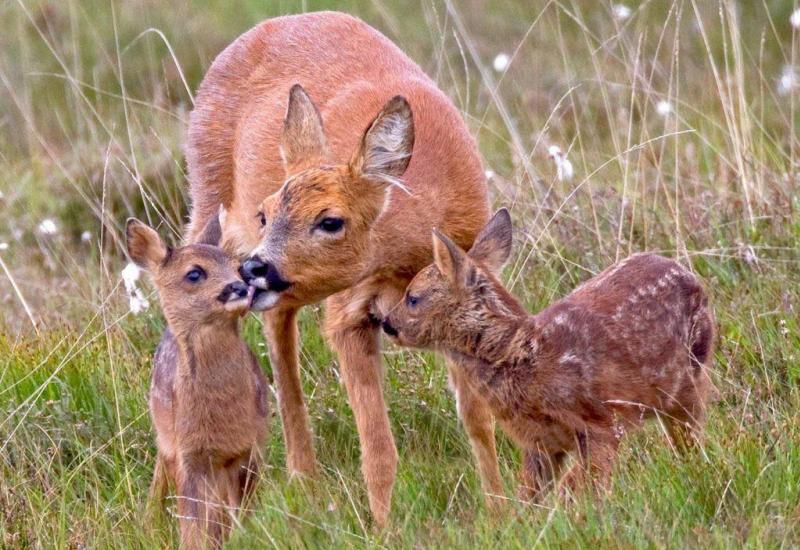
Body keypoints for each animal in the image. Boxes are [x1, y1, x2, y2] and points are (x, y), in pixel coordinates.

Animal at [184, 10, 490, 524]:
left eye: (331, 220)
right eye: (265, 213)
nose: (254, 269)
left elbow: (479, 421)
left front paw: (507, 508)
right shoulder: (348, 313)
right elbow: (379, 448)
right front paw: (386, 528)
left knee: (276, 322)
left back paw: (301, 480)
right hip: (207, 195)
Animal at [378, 210, 716, 500]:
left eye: (413, 298)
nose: (387, 323)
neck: (522, 354)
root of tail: (690, 275)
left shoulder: (602, 422)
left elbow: (581, 488)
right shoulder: (540, 443)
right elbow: (529, 495)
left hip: (690, 380)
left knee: (690, 438)